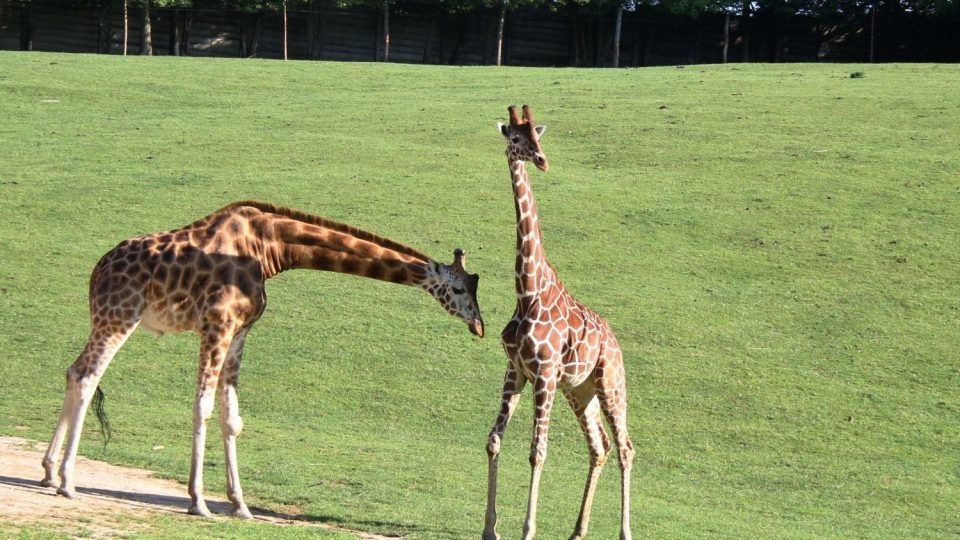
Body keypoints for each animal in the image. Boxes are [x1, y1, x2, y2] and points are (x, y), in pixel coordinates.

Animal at [41, 201, 484, 520]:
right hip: (121, 314)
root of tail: (97, 271)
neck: (272, 248)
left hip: (110, 317)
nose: (480, 326)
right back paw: (67, 481)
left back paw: (47, 472)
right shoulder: (217, 325)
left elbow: (232, 418)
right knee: (87, 375)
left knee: (74, 371)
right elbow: (202, 407)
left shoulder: (240, 332)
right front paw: (198, 501)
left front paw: (240, 505)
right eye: (460, 289)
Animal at [484, 104, 632, 540]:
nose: (542, 160)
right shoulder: (516, 370)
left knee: (625, 447)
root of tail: (616, 342)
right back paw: (577, 531)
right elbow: (494, 441)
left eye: (539, 134)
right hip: (580, 391)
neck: (527, 290)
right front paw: (490, 529)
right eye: (517, 138)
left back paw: (625, 531)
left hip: (609, 384)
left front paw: (527, 530)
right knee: (599, 447)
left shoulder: (544, 374)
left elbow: (538, 452)